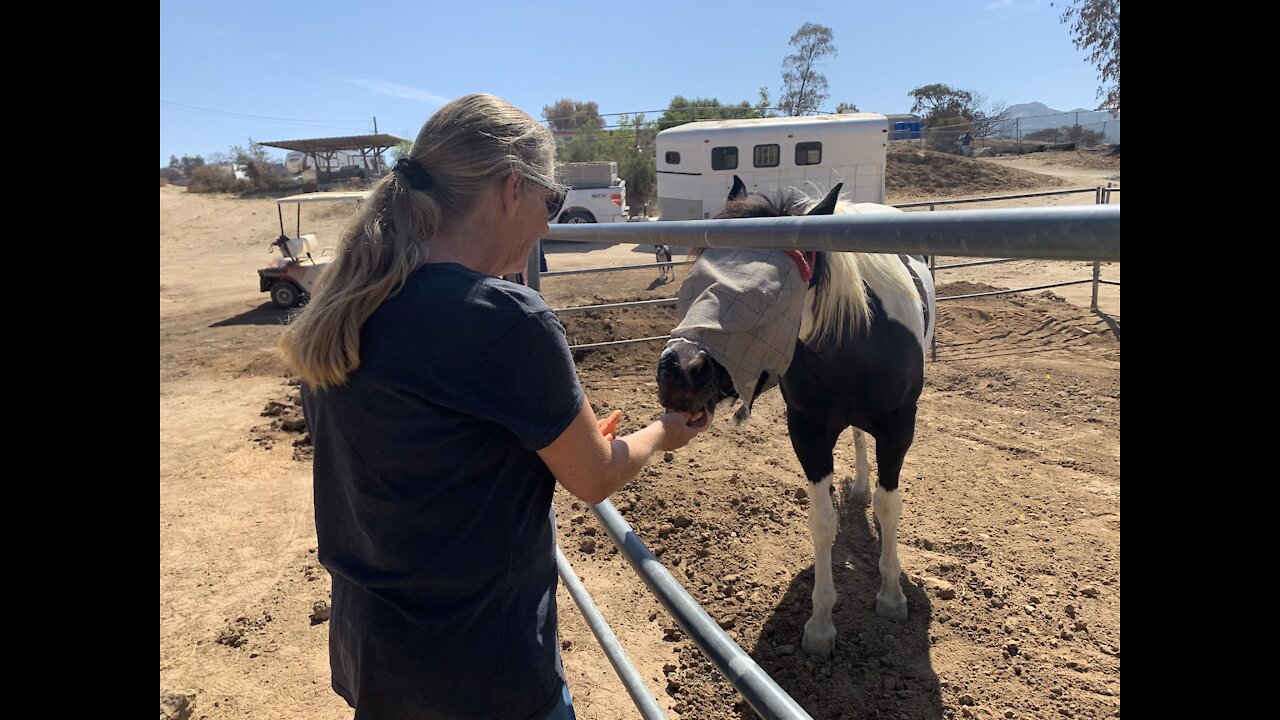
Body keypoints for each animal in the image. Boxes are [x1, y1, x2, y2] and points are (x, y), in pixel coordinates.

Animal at [655, 175, 936, 655]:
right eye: (693, 281)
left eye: (764, 295)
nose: (677, 371)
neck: (855, 343)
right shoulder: (807, 431)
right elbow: (821, 522)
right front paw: (820, 625)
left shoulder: (899, 427)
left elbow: (889, 506)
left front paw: (891, 595)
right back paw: (858, 487)